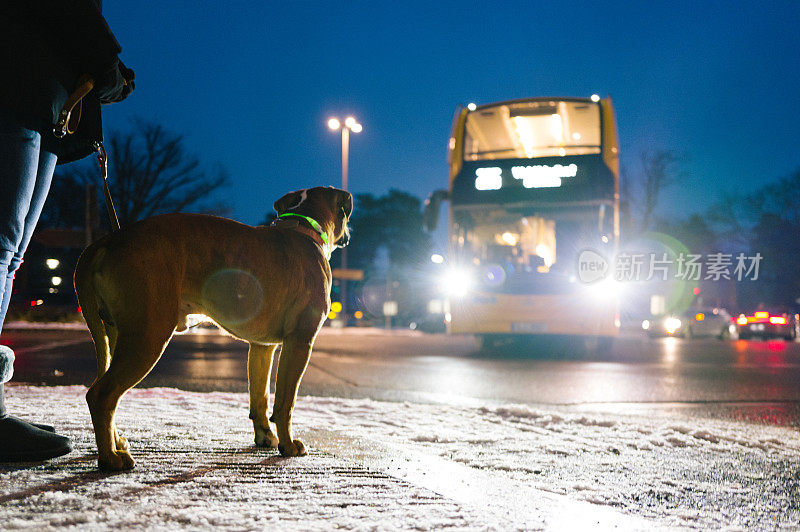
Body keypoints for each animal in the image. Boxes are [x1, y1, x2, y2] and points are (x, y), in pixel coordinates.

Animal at [76, 186, 354, 470]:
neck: (302, 227)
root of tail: (108, 240)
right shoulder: (299, 342)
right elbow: (285, 401)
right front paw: (288, 445)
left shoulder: (261, 348)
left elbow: (260, 398)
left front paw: (265, 436)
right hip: (147, 337)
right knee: (101, 395)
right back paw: (110, 458)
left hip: (116, 336)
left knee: (107, 392)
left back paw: (116, 444)